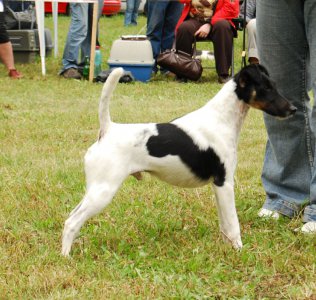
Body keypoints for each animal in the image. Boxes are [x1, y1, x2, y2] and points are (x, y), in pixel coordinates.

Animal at [61, 63, 296, 255]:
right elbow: (233, 223)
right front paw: (239, 250)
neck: (221, 118)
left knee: (71, 216)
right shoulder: (225, 183)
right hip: (103, 191)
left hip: (95, 189)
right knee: (72, 222)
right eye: (266, 88)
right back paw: (66, 257)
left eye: (274, 85)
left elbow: (224, 224)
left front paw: (227, 247)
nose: (293, 109)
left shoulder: (218, 187)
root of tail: (107, 130)